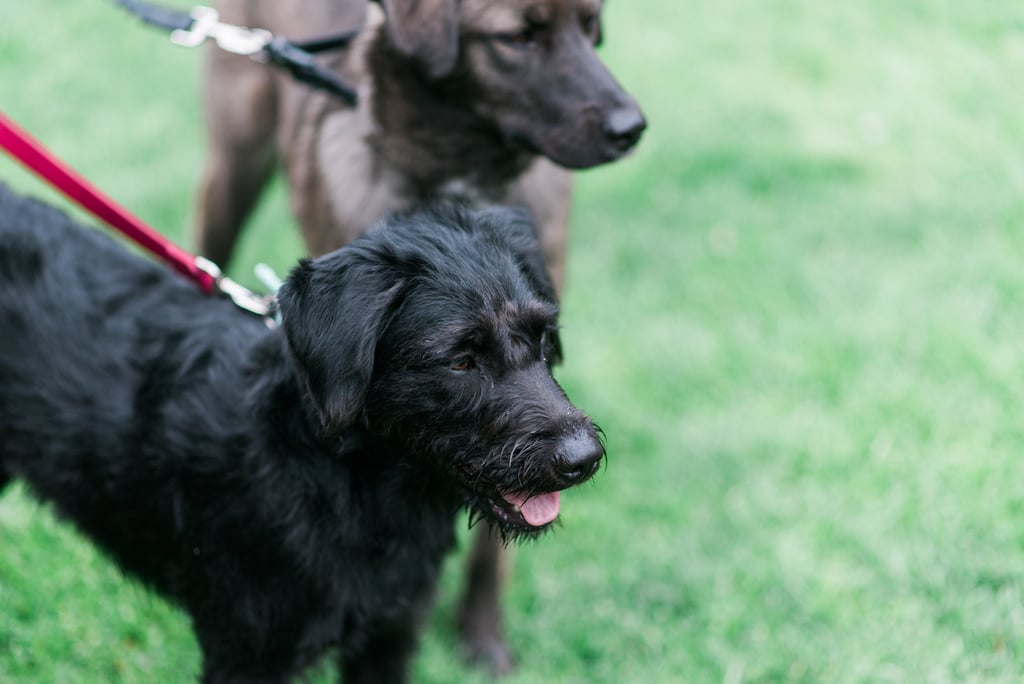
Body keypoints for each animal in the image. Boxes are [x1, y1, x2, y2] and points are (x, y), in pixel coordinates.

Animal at [0, 184, 602, 679]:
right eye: (459, 360)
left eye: (542, 335)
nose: (585, 458)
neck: (350, 488)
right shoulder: (248, 654)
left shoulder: (388, 636)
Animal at [193, 0, 638, 671]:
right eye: (517, 37)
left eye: (592, 29)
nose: (631, 127)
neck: (458, 178)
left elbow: (500, 526)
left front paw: (482, 637)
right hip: (232, 166)